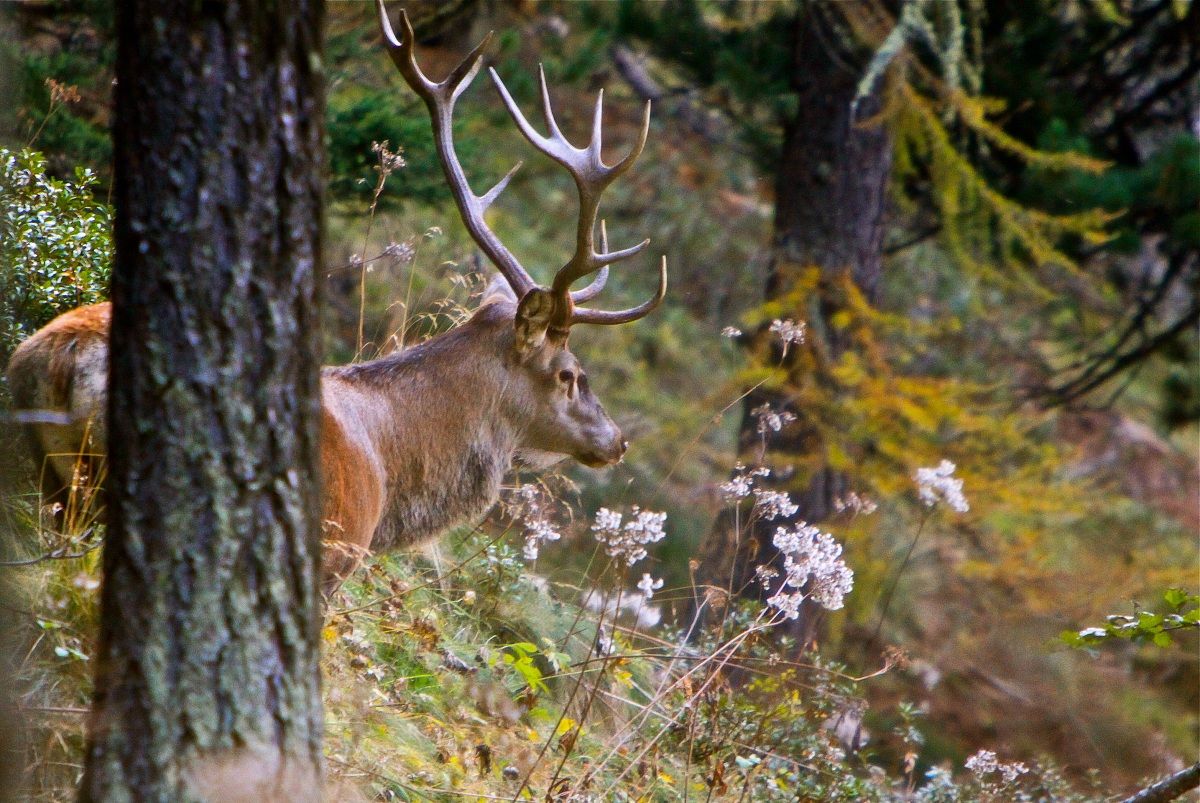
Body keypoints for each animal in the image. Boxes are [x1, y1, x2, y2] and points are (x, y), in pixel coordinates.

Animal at [5, 1, 666, 593]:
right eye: (569, 374)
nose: (617, 440)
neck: (392, 470)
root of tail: (60, 359)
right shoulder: (336, 555)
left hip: (42, 480)